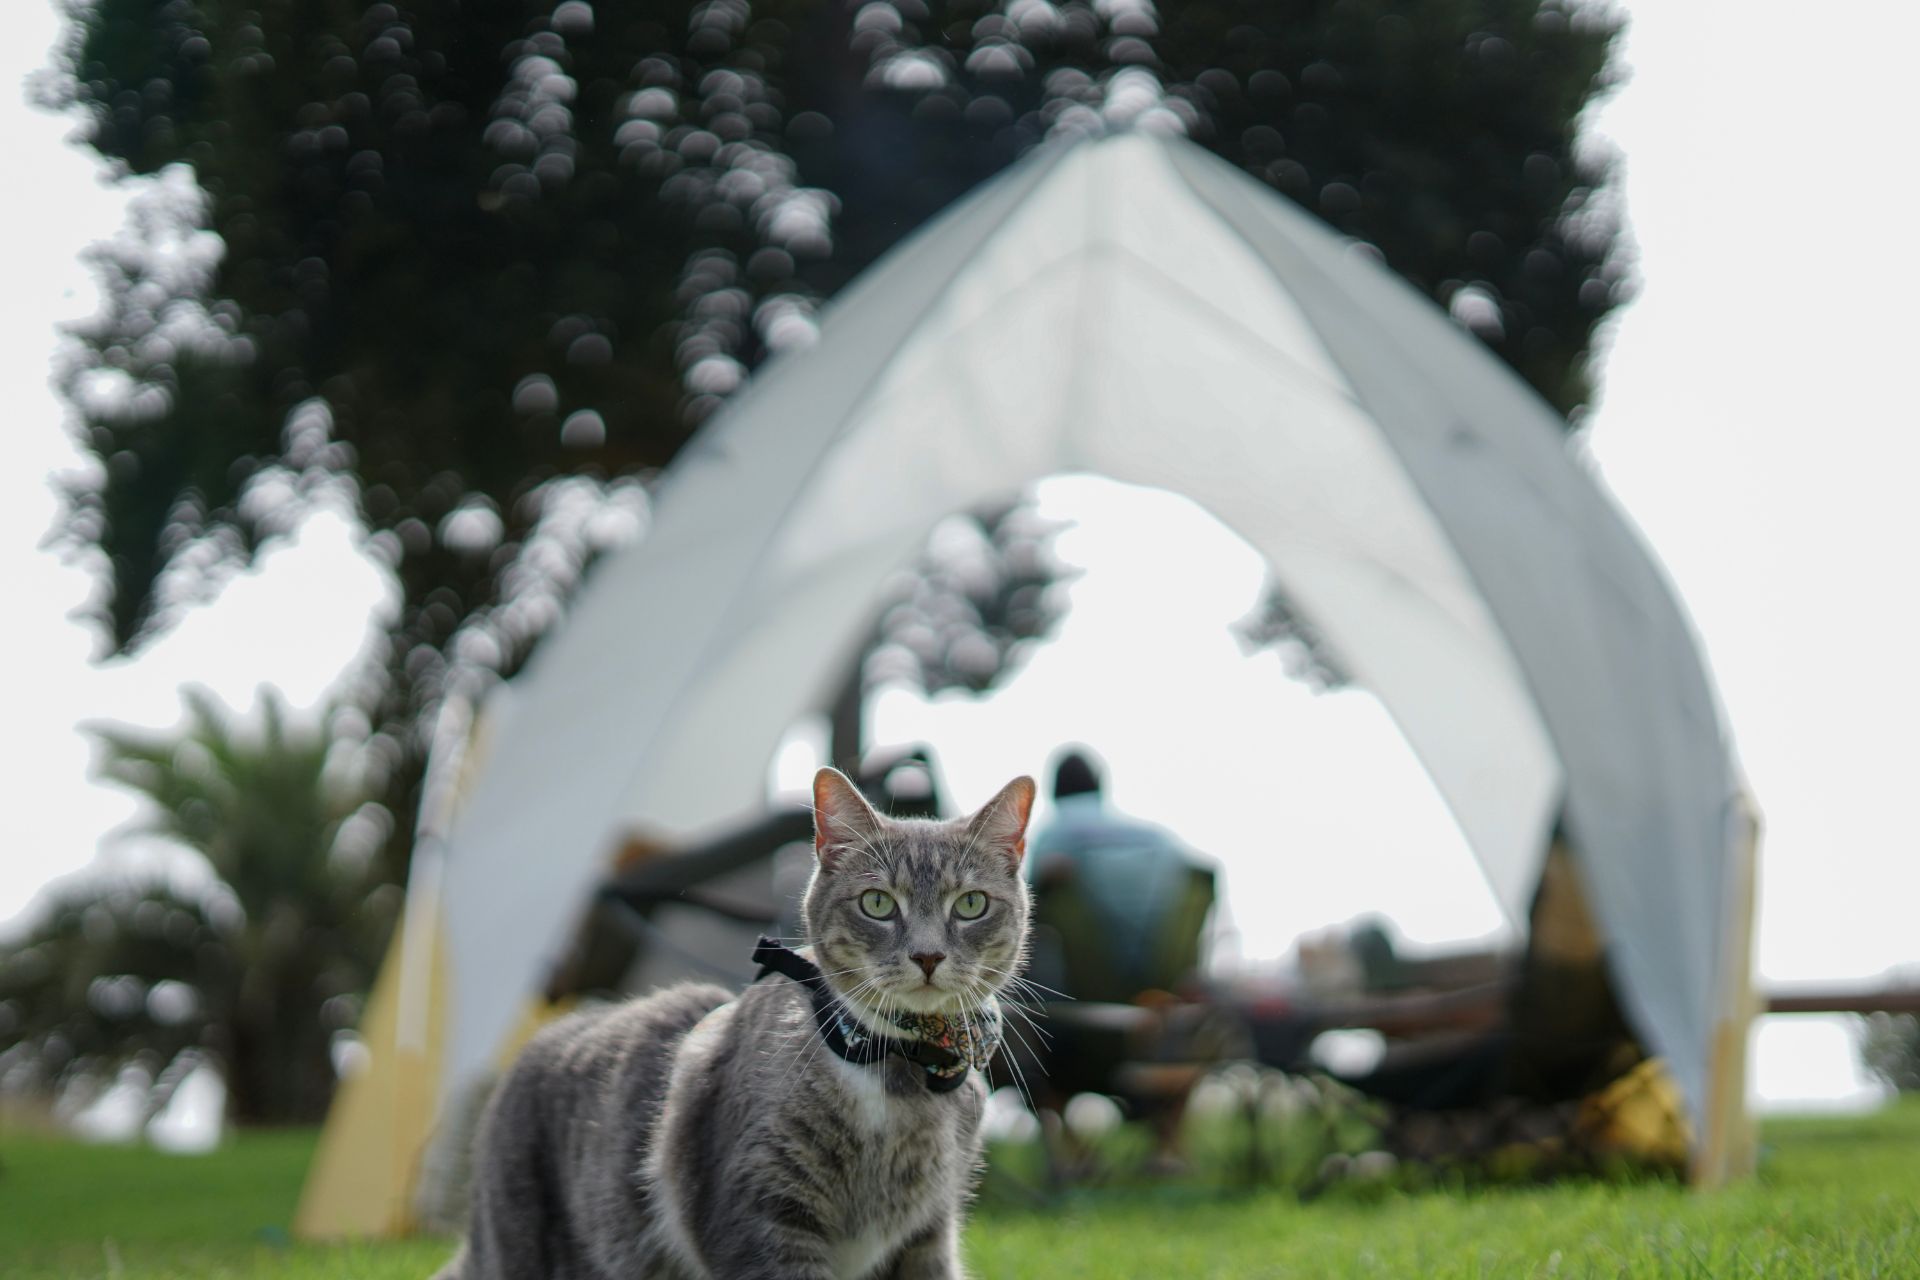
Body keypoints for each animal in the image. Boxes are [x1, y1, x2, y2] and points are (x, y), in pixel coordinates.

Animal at [439, 767, 1036, 1274]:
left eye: (972, 904)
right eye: (877, 903)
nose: (928, 956)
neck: (895, 1064)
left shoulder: (925, 1234)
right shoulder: (761, 1216)